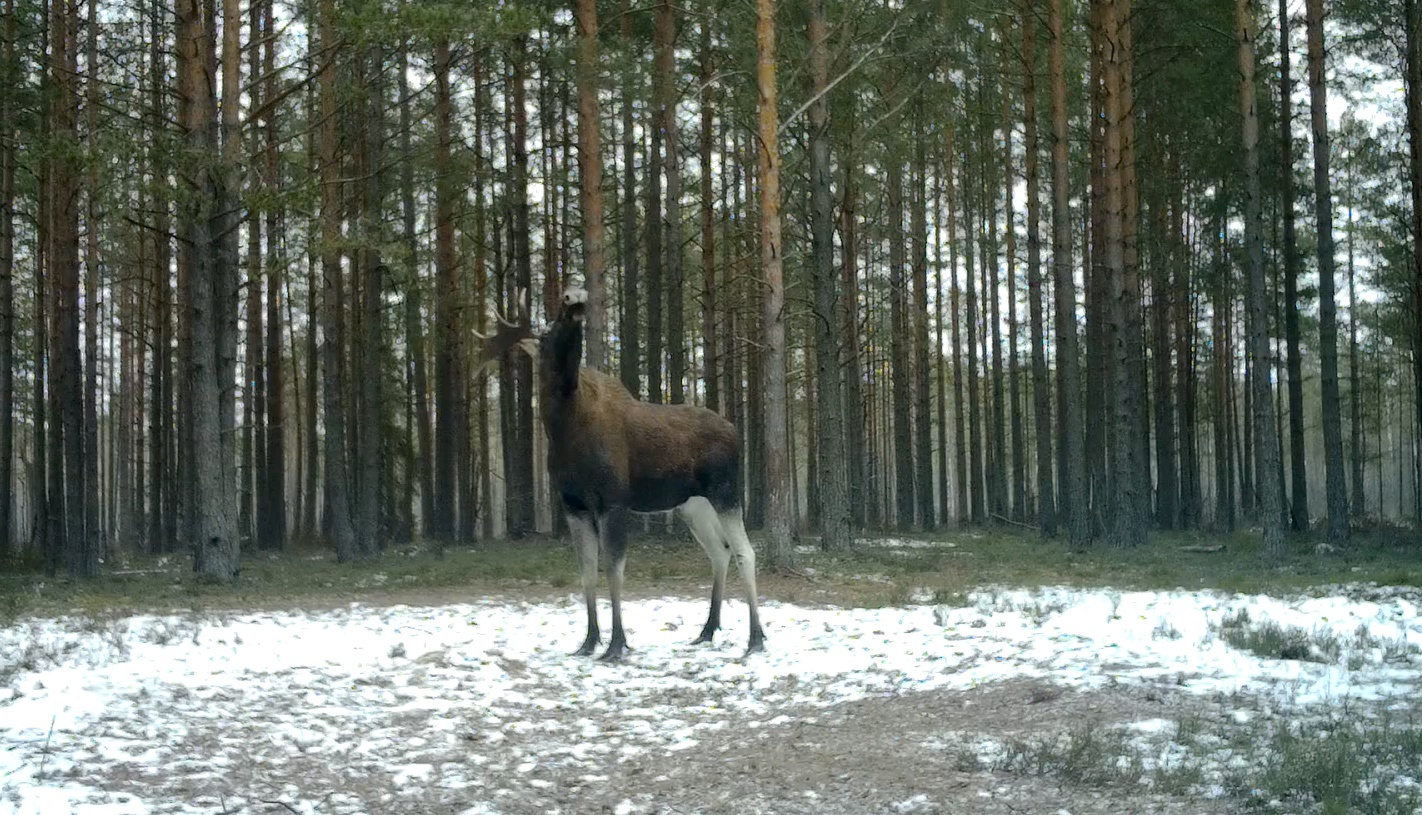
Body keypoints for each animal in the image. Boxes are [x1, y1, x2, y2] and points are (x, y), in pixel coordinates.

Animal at [474, 285, 767, 659]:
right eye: (547, 335)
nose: (575, 295)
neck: (565, 431)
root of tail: (735, 431)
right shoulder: (573, 505)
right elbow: (587, 572)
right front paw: (588, 641)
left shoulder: (613, 500)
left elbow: (614, 571)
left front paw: (616, 644)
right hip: (693, 504)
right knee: (719, 551)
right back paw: (707, 630)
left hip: (725, 491)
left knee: (746, 552)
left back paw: (755, 638)